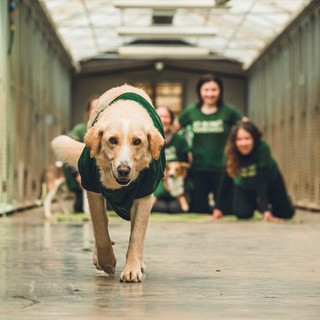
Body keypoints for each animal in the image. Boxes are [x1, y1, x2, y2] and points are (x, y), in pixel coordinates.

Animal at [51, 84, 165, 282]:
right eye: (112, 140)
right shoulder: (92, 190)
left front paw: (132, 268)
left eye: (137, 141)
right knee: (102, 224)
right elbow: (100, 229)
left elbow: (137, 236)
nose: (123, 170)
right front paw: (106, 261)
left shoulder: (144, 196)